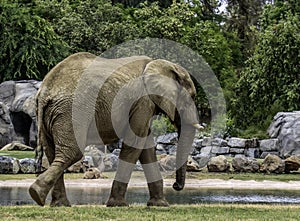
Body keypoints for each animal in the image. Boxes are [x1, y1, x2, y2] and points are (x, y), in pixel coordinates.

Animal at [28, 51, 202, 207]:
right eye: (192, 97)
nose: (175, 186)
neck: (159, 64)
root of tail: (44, 91)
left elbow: (146, 147)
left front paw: (159, 205)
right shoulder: (143, 101)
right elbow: (135, 143)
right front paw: (118, 205)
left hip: (52, 114)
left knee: (52, 153)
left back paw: (56, 203)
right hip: (72, 110)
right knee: (72, 152)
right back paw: (37, 194)